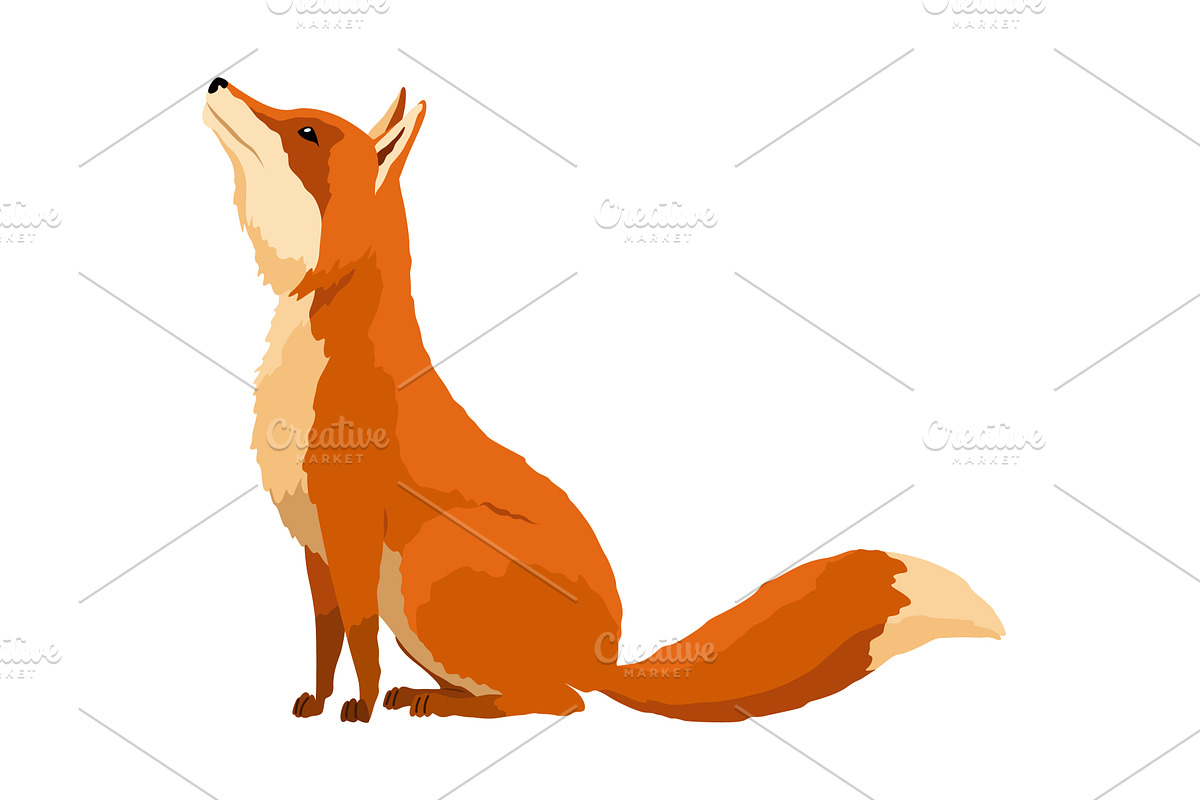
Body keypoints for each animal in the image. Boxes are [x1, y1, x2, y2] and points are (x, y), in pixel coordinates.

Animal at [202, 77, 1004, 723]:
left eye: (307, 131)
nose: (215, 81)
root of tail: (605, 652)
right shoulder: (314, 541)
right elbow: (327, 637)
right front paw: (317, 703)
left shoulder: (353, 526)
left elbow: (359, 642)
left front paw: (360, 711)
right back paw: (435, 695)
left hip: (430, 558)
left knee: (561, 703)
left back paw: (445, 705)